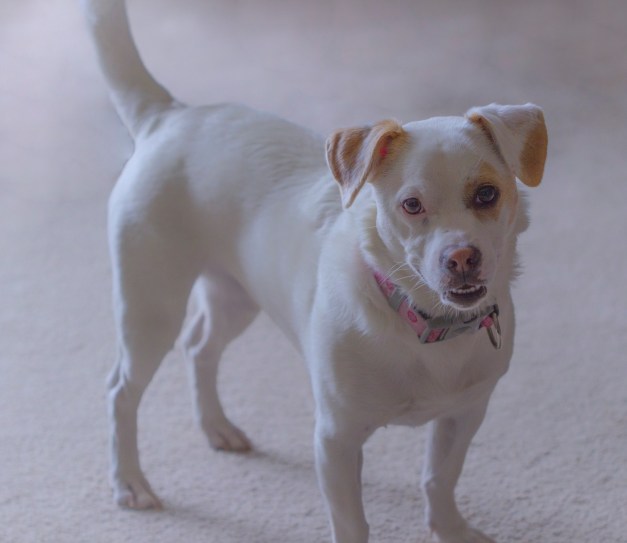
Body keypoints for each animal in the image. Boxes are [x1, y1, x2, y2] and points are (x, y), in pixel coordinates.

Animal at [82, 1, 547, 542]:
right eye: (411, 205)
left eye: (487, 194)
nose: (461, 259)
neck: (424, 326)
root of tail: (169, 115)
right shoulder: (337, 439)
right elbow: (352, 522)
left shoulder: (464, 416)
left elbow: (439, 480)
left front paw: (450, 530)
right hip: (150, 311)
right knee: (121, 391)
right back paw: (129, 482)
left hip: (235, 297)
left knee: (200, 348)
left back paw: (217, 427)